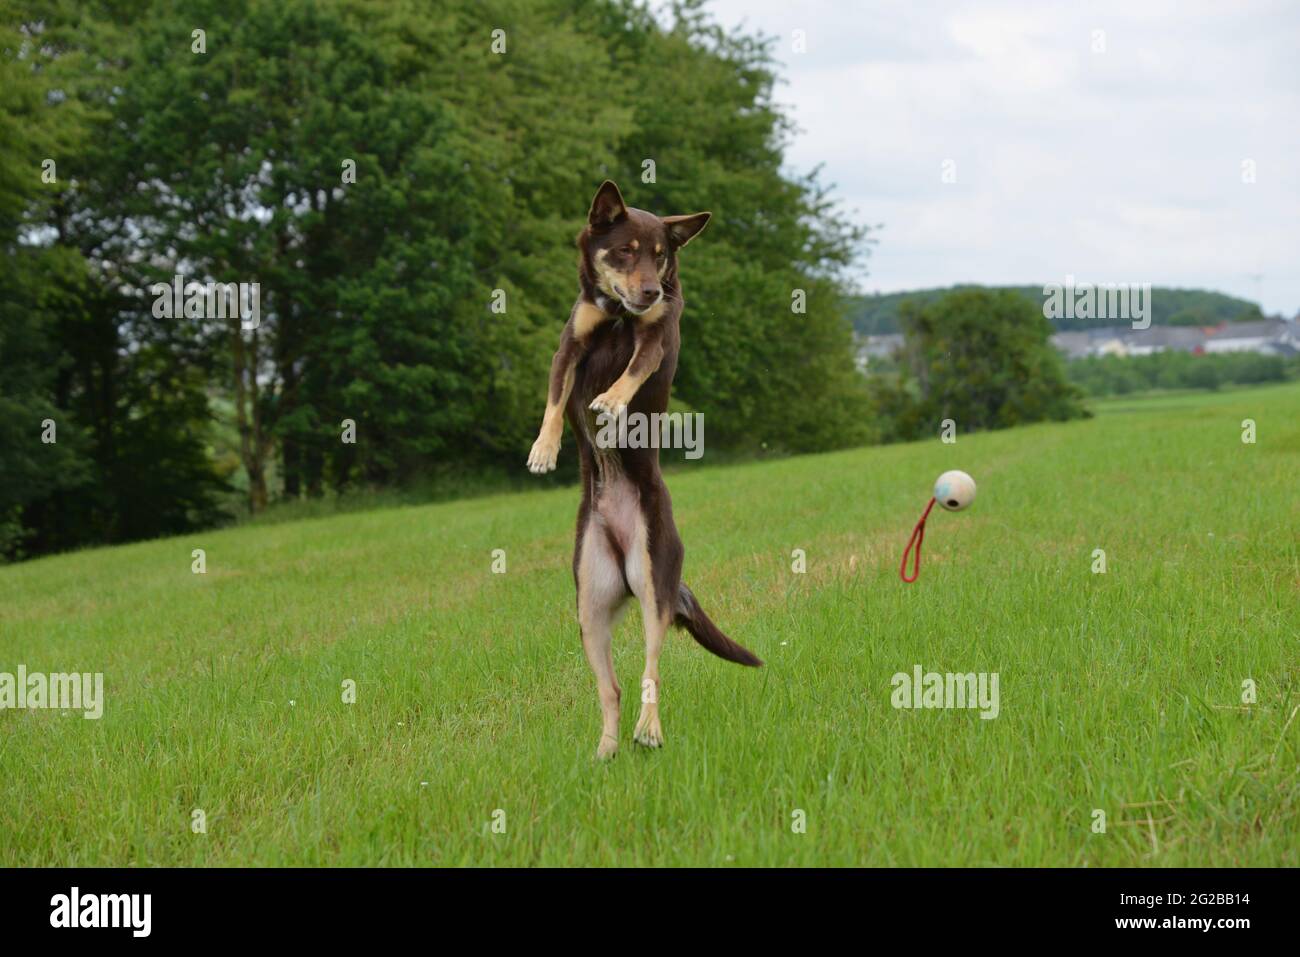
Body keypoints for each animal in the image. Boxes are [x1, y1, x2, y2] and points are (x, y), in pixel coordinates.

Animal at [527, 183, 759, 759]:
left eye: (661, 256)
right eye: (625, 252)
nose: (652, 292)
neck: (617, 315)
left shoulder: (655, 338)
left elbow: (632, 370)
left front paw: (611, 400)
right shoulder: (570, 345)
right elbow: (554, 399)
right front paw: (544, 448)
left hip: (655, 581)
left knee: (649, 672)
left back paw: (648, 730)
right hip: (590, 606)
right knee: (609, 688)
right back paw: (606, 750)